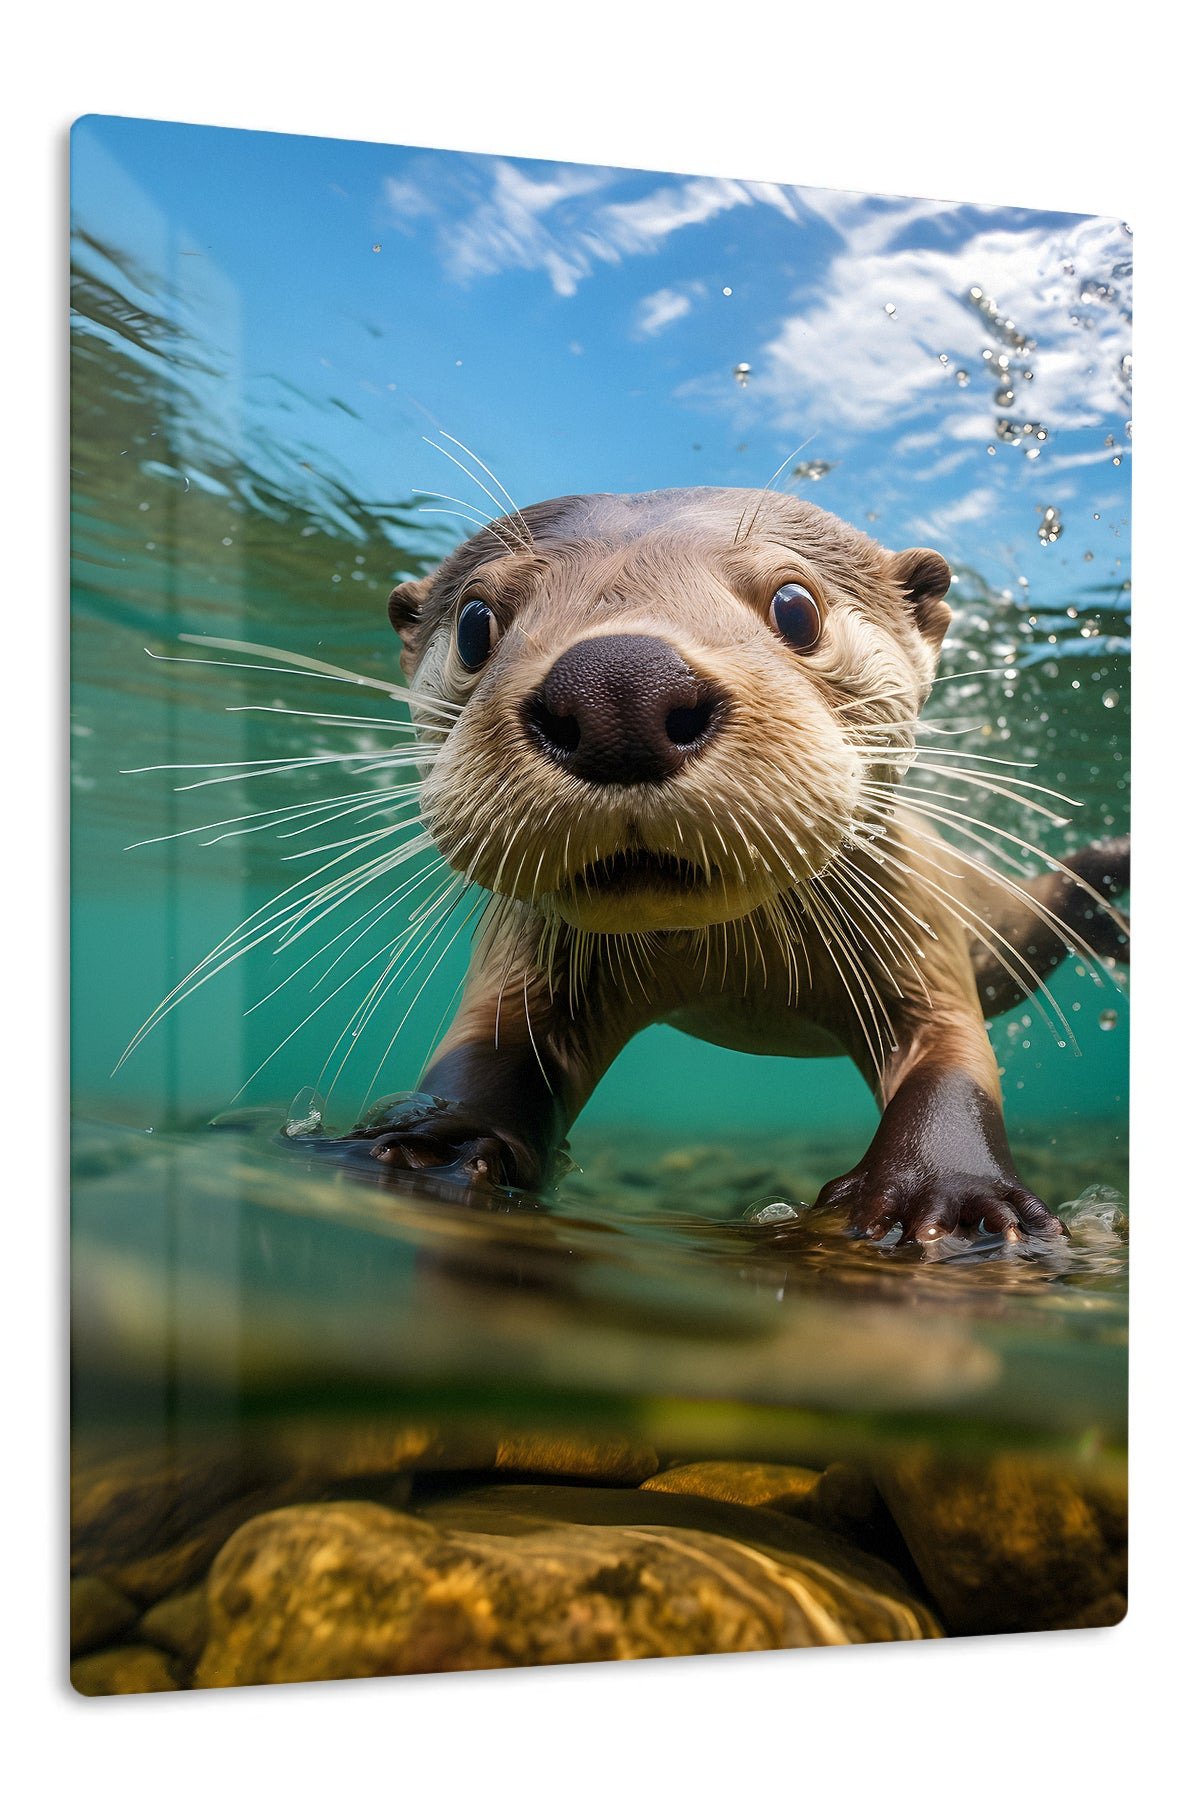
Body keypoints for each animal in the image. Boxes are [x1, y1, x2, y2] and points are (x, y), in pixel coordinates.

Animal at [333, 487, 1128, 1245]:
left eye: (796, 608)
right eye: (474, 625)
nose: (618, 686)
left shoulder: (918, 925)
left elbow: (951, 1061)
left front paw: (950, 1195)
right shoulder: (530, 950)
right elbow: (490, 1050)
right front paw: (436, 1138)